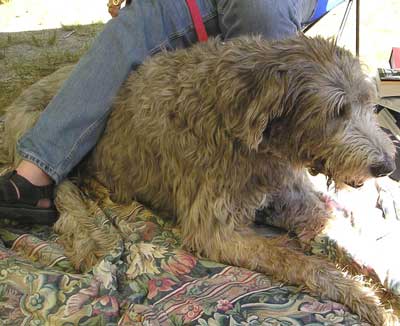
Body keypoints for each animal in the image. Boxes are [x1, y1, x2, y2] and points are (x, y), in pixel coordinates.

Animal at [2, 35, 396, 324]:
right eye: (336, 111)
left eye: (369, 104)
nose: (386, 165)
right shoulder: (213, 227)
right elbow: (296, 259)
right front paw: (363, 297)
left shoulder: (294, 197)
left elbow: (344, 236)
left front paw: (382, 274)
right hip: (35, 132)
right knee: (61, 192)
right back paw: (87, 238)